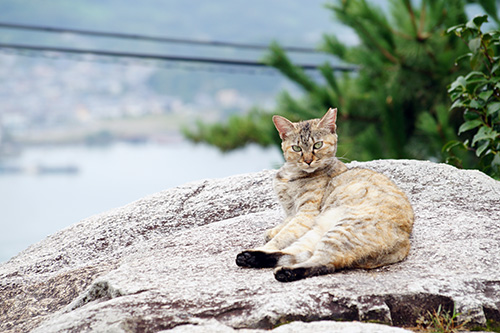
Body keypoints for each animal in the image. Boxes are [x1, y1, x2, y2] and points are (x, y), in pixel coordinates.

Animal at [234, 107, 414, 282]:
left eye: (318, 145)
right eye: (297, 148)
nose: (308, 161)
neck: (291, 174)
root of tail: (404, 241)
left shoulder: (306, 214)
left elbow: (284, 234)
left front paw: (271, 239)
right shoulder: (292, 213)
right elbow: (284, 226)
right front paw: (272, 231)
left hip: (341, 232)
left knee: (324, 262)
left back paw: (284, 272)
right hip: (318, 233)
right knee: (300, 253)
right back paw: (249, 257)